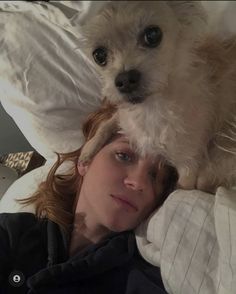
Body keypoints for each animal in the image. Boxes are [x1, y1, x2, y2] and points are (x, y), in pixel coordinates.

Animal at [79, 0, 236, 193]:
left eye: (153, 35)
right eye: (99, 55)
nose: (125, 79)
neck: (150, 108)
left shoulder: (188, 167)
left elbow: (177, 191)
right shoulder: (125, 117)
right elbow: (106, 125)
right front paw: (88, 149)